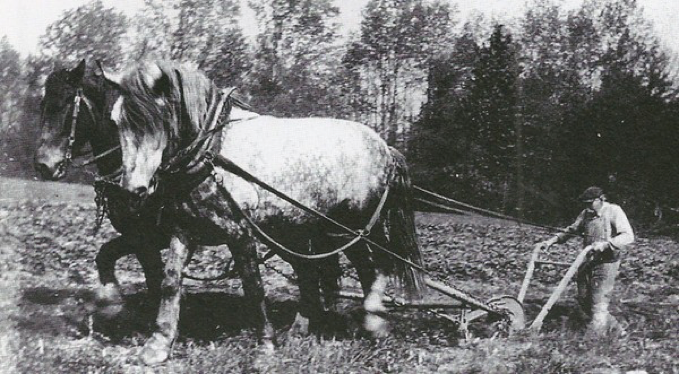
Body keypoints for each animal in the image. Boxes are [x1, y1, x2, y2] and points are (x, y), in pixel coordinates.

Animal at [103, 61, 424, 366]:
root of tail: (385, 147)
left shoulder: (240, 232)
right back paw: (309, 329)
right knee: (327, 272)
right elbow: (170, 282)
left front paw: (265, 345)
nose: (133, 189)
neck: (212, 152)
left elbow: (253, 287)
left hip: (355, 227)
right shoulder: (184, 230)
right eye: (116, 121)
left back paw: (374, 321)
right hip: (316, 231)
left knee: (377, 265)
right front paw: (158, 344)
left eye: (157, 120)